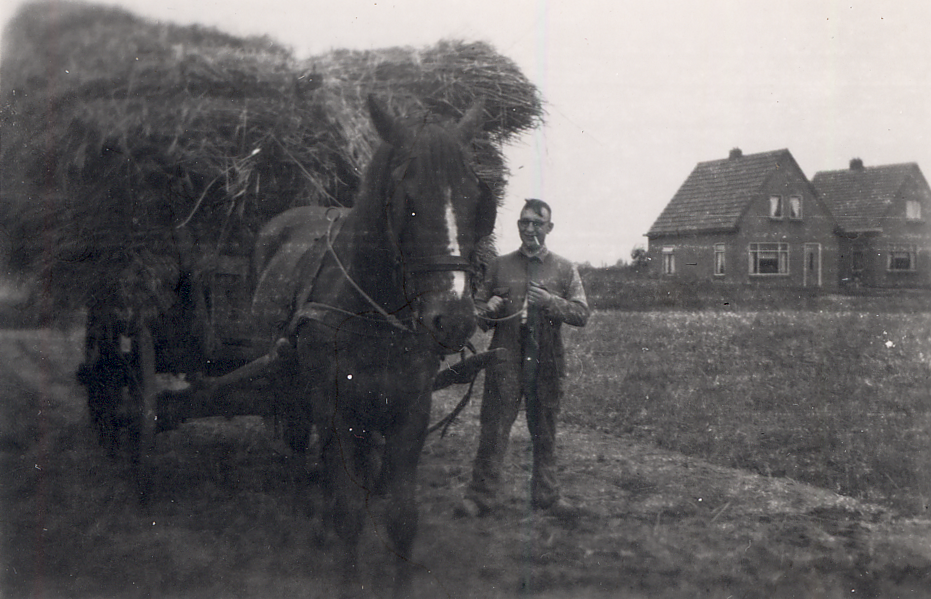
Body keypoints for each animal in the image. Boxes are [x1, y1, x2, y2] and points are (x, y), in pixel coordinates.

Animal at [256, 96, 496, 596]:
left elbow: (402, 515)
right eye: (407, 201)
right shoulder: (336, 407)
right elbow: (348, 511)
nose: (454, 318)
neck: (378, 313)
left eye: (478, 200)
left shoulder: (410, 409)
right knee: (312, 452)